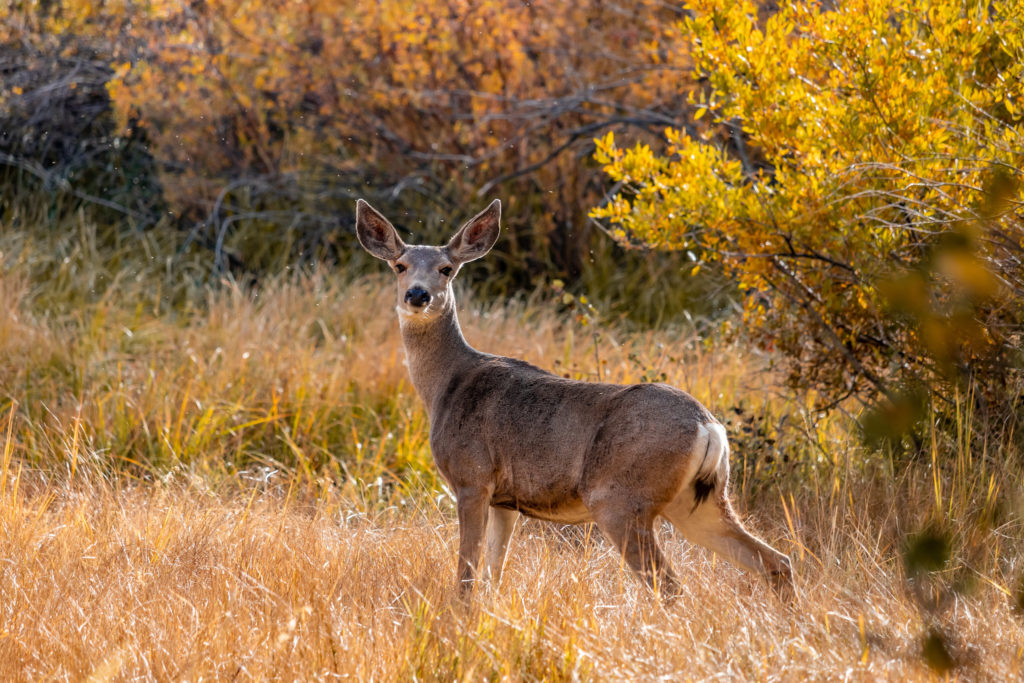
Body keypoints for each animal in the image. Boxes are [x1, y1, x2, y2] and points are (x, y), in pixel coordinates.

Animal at [356, 197, 794, 598]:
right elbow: (494, 573)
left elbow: (466, 575)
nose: (418, 295)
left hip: (620, 500)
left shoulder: (471, 478)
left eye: (446, 269)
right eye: (400, 265)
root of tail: (709, 427)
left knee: (671, 586)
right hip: (698, 500)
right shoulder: (504, 500)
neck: (448, 385)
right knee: (775, 560)